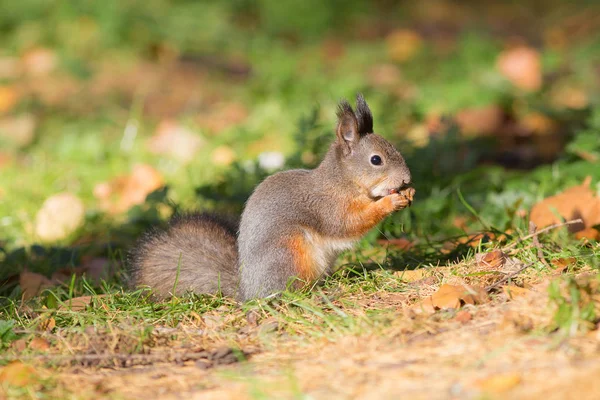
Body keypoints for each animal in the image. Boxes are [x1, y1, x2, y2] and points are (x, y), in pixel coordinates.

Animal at [129, 94, 414, 300]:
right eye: (376, 160)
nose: (407, 179)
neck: (343, 182)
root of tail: (249, 290)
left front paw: (407, 194)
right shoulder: (327, 206)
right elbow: (348, 223)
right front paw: (390, 201)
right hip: (289, 253)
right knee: (288, 291)